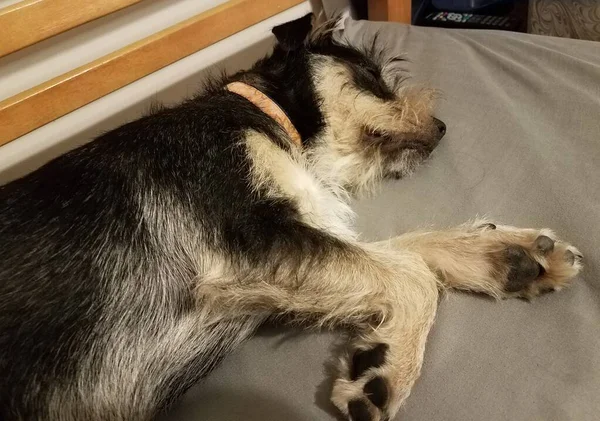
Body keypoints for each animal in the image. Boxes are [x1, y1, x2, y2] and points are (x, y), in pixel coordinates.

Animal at [0, 13, 580, 420]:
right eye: (370, 76)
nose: (441, 127)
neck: (269, 116)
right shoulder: (247, 235)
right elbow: (411, 275)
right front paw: (386, 370)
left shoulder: (283, 252)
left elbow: (403, 251)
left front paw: (507, 254)